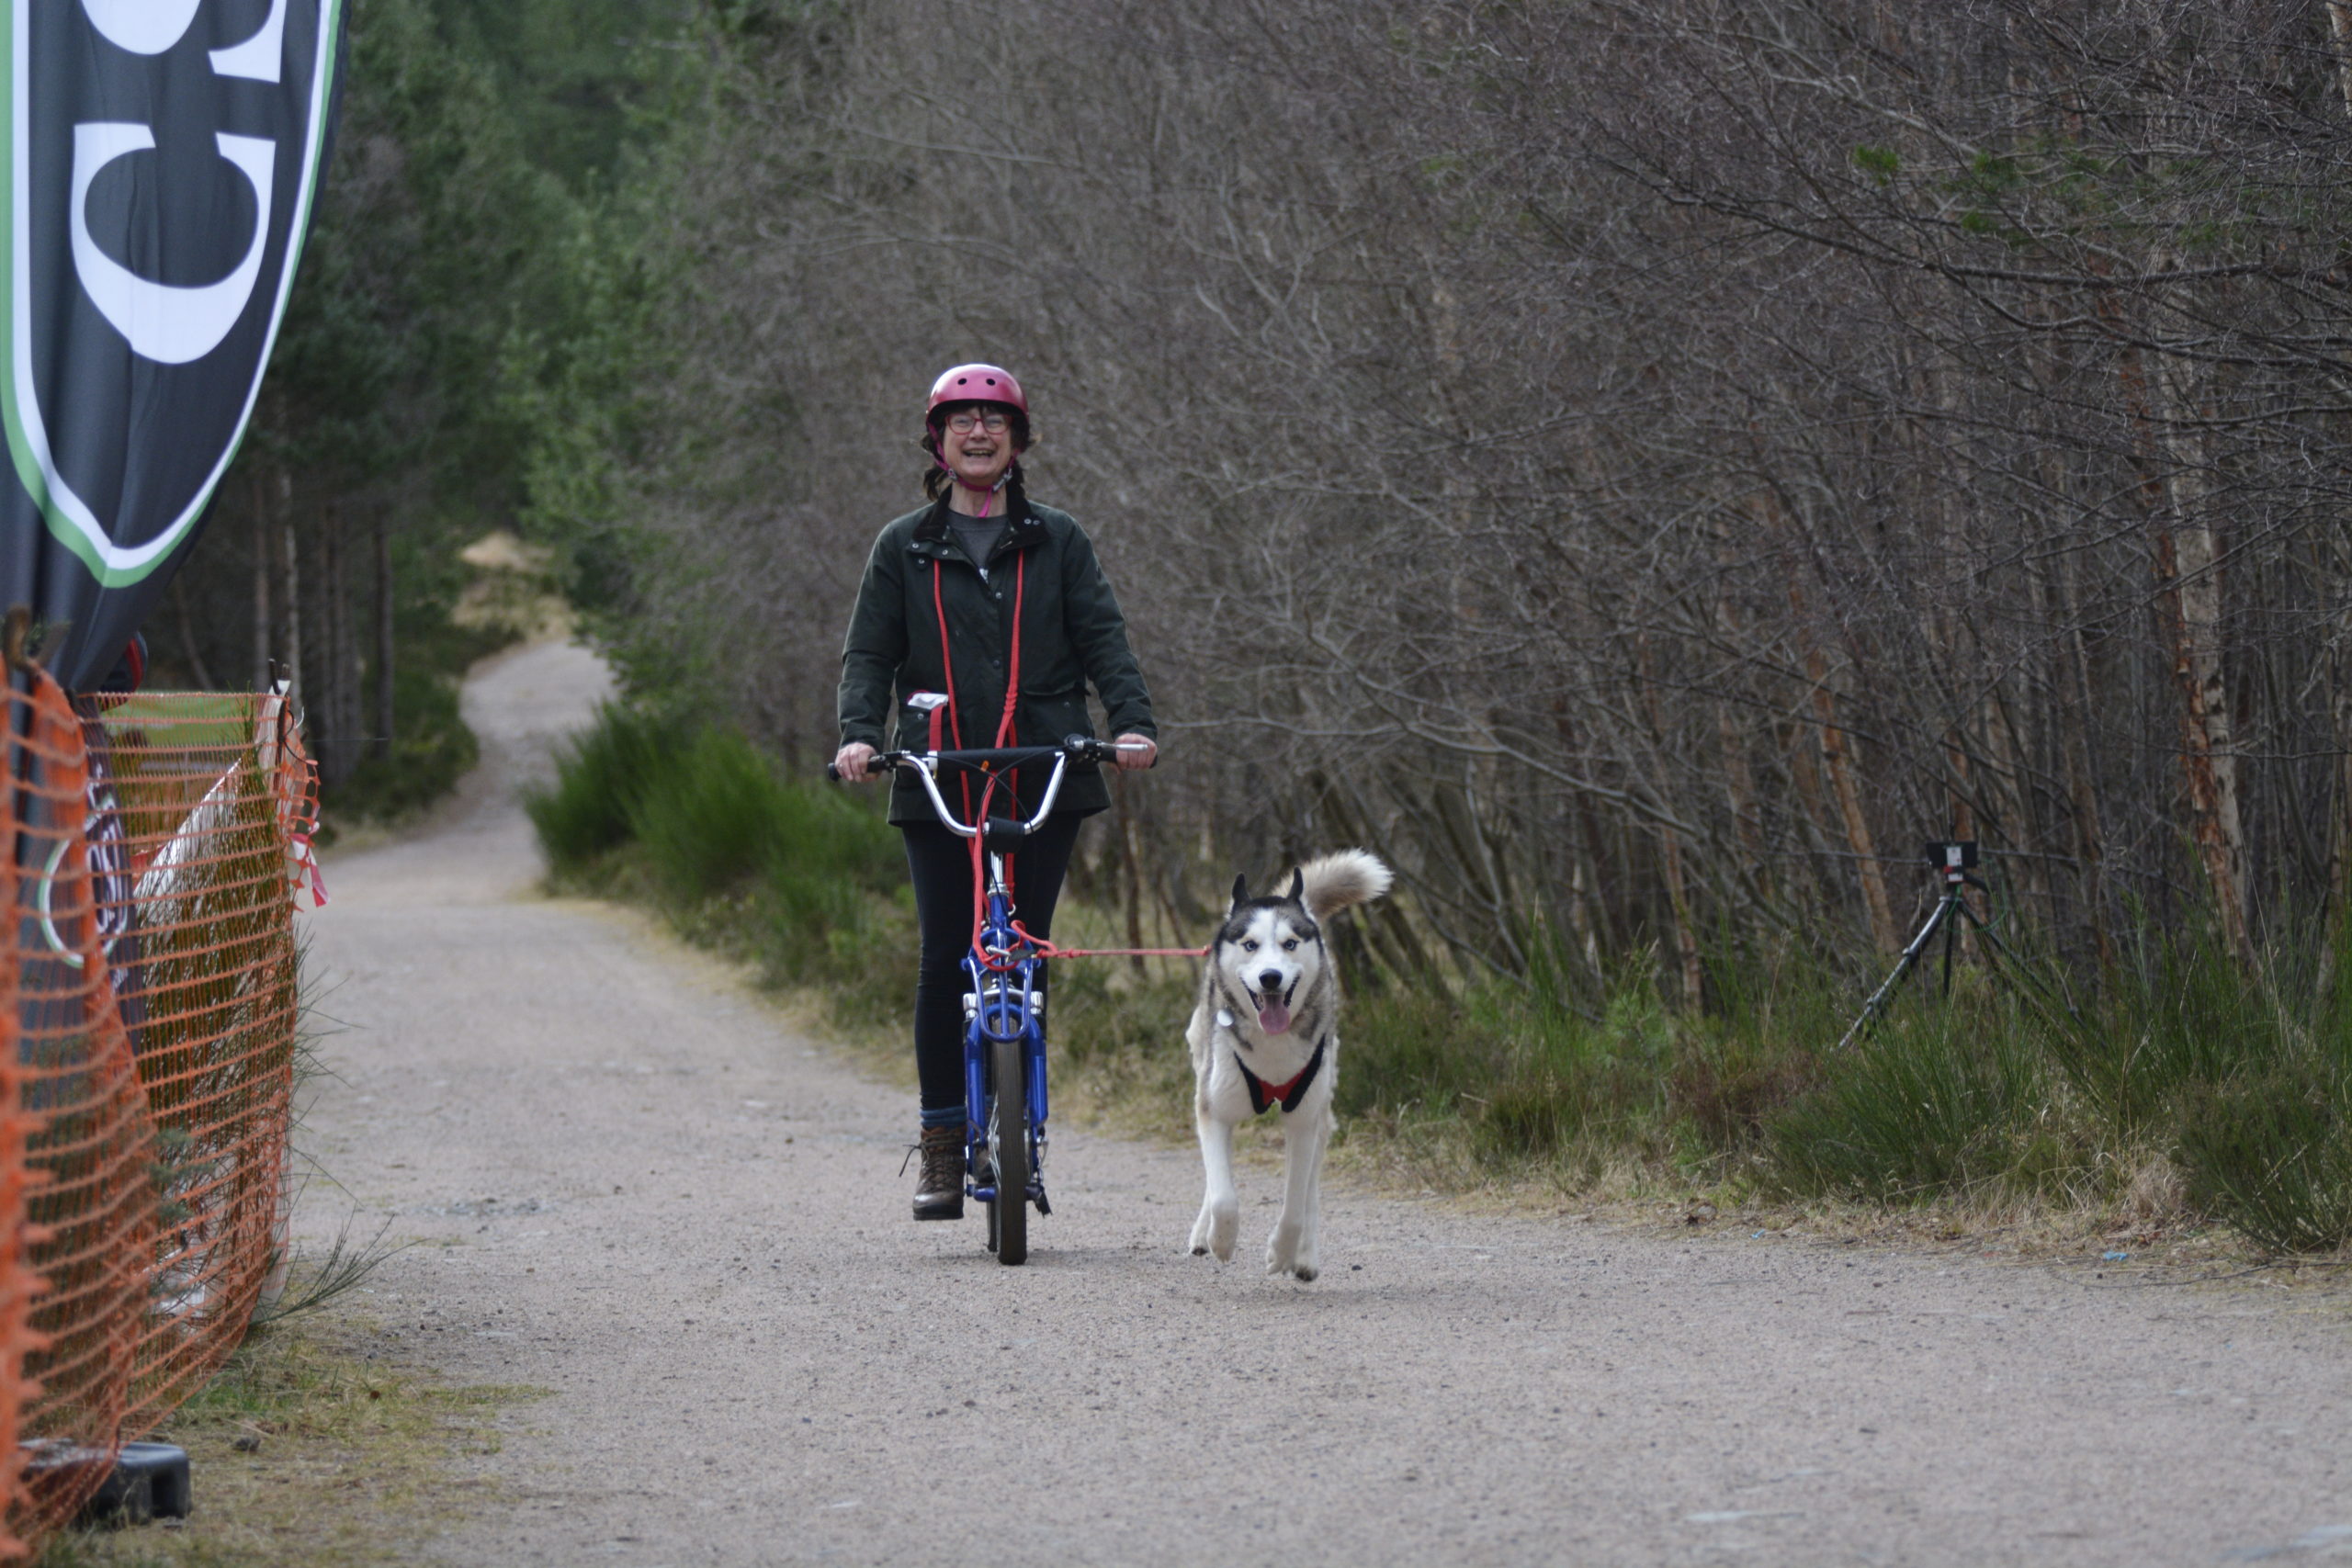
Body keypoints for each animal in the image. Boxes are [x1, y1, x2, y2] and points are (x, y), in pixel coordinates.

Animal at [1185, 851, 1383, 1279]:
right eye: (1250, 944)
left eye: (1289, 943)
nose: (1271, 977)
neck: (1271, 1049)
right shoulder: (1214, 1110)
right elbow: (1223, 1194)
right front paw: (1222, 1240)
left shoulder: (1303, 1119)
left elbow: (1294, 1205)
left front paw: (1282, 1252)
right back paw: (1203, 1234)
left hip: (1321, 1106)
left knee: (1309, 1191)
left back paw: (1305, 1257)